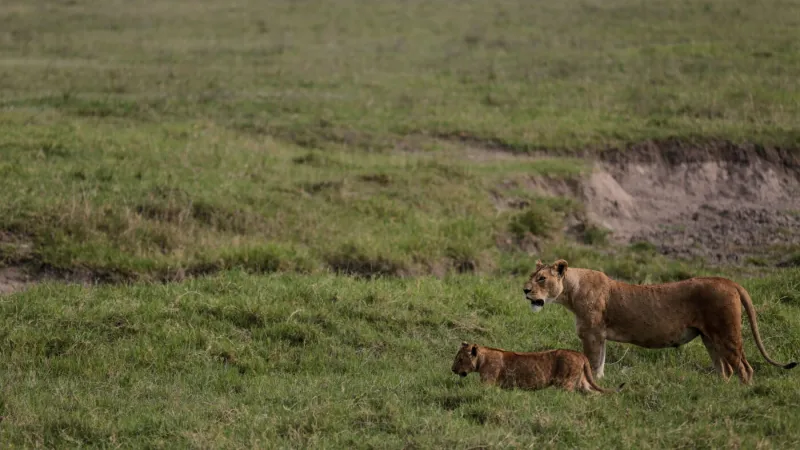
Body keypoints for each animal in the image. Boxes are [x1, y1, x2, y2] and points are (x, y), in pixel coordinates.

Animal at [451, 342, 624, 394]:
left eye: (460, 359)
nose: (452, 370)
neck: (483, 357)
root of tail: (580, 354)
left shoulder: (488, 382)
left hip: (565, 383)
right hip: (583, 382)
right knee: (594, 394)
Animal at [522, 259, 798, 384]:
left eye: (542, 278)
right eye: (531, 276)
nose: (525, 290)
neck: (571, 291)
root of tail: (729, 281)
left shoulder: (591, 334)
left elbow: (591, 361)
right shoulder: (599, 336)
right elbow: (600, 362)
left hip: (727, 334)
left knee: (744, 368)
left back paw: (741, 392)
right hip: (710, 338)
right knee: (725, 369)